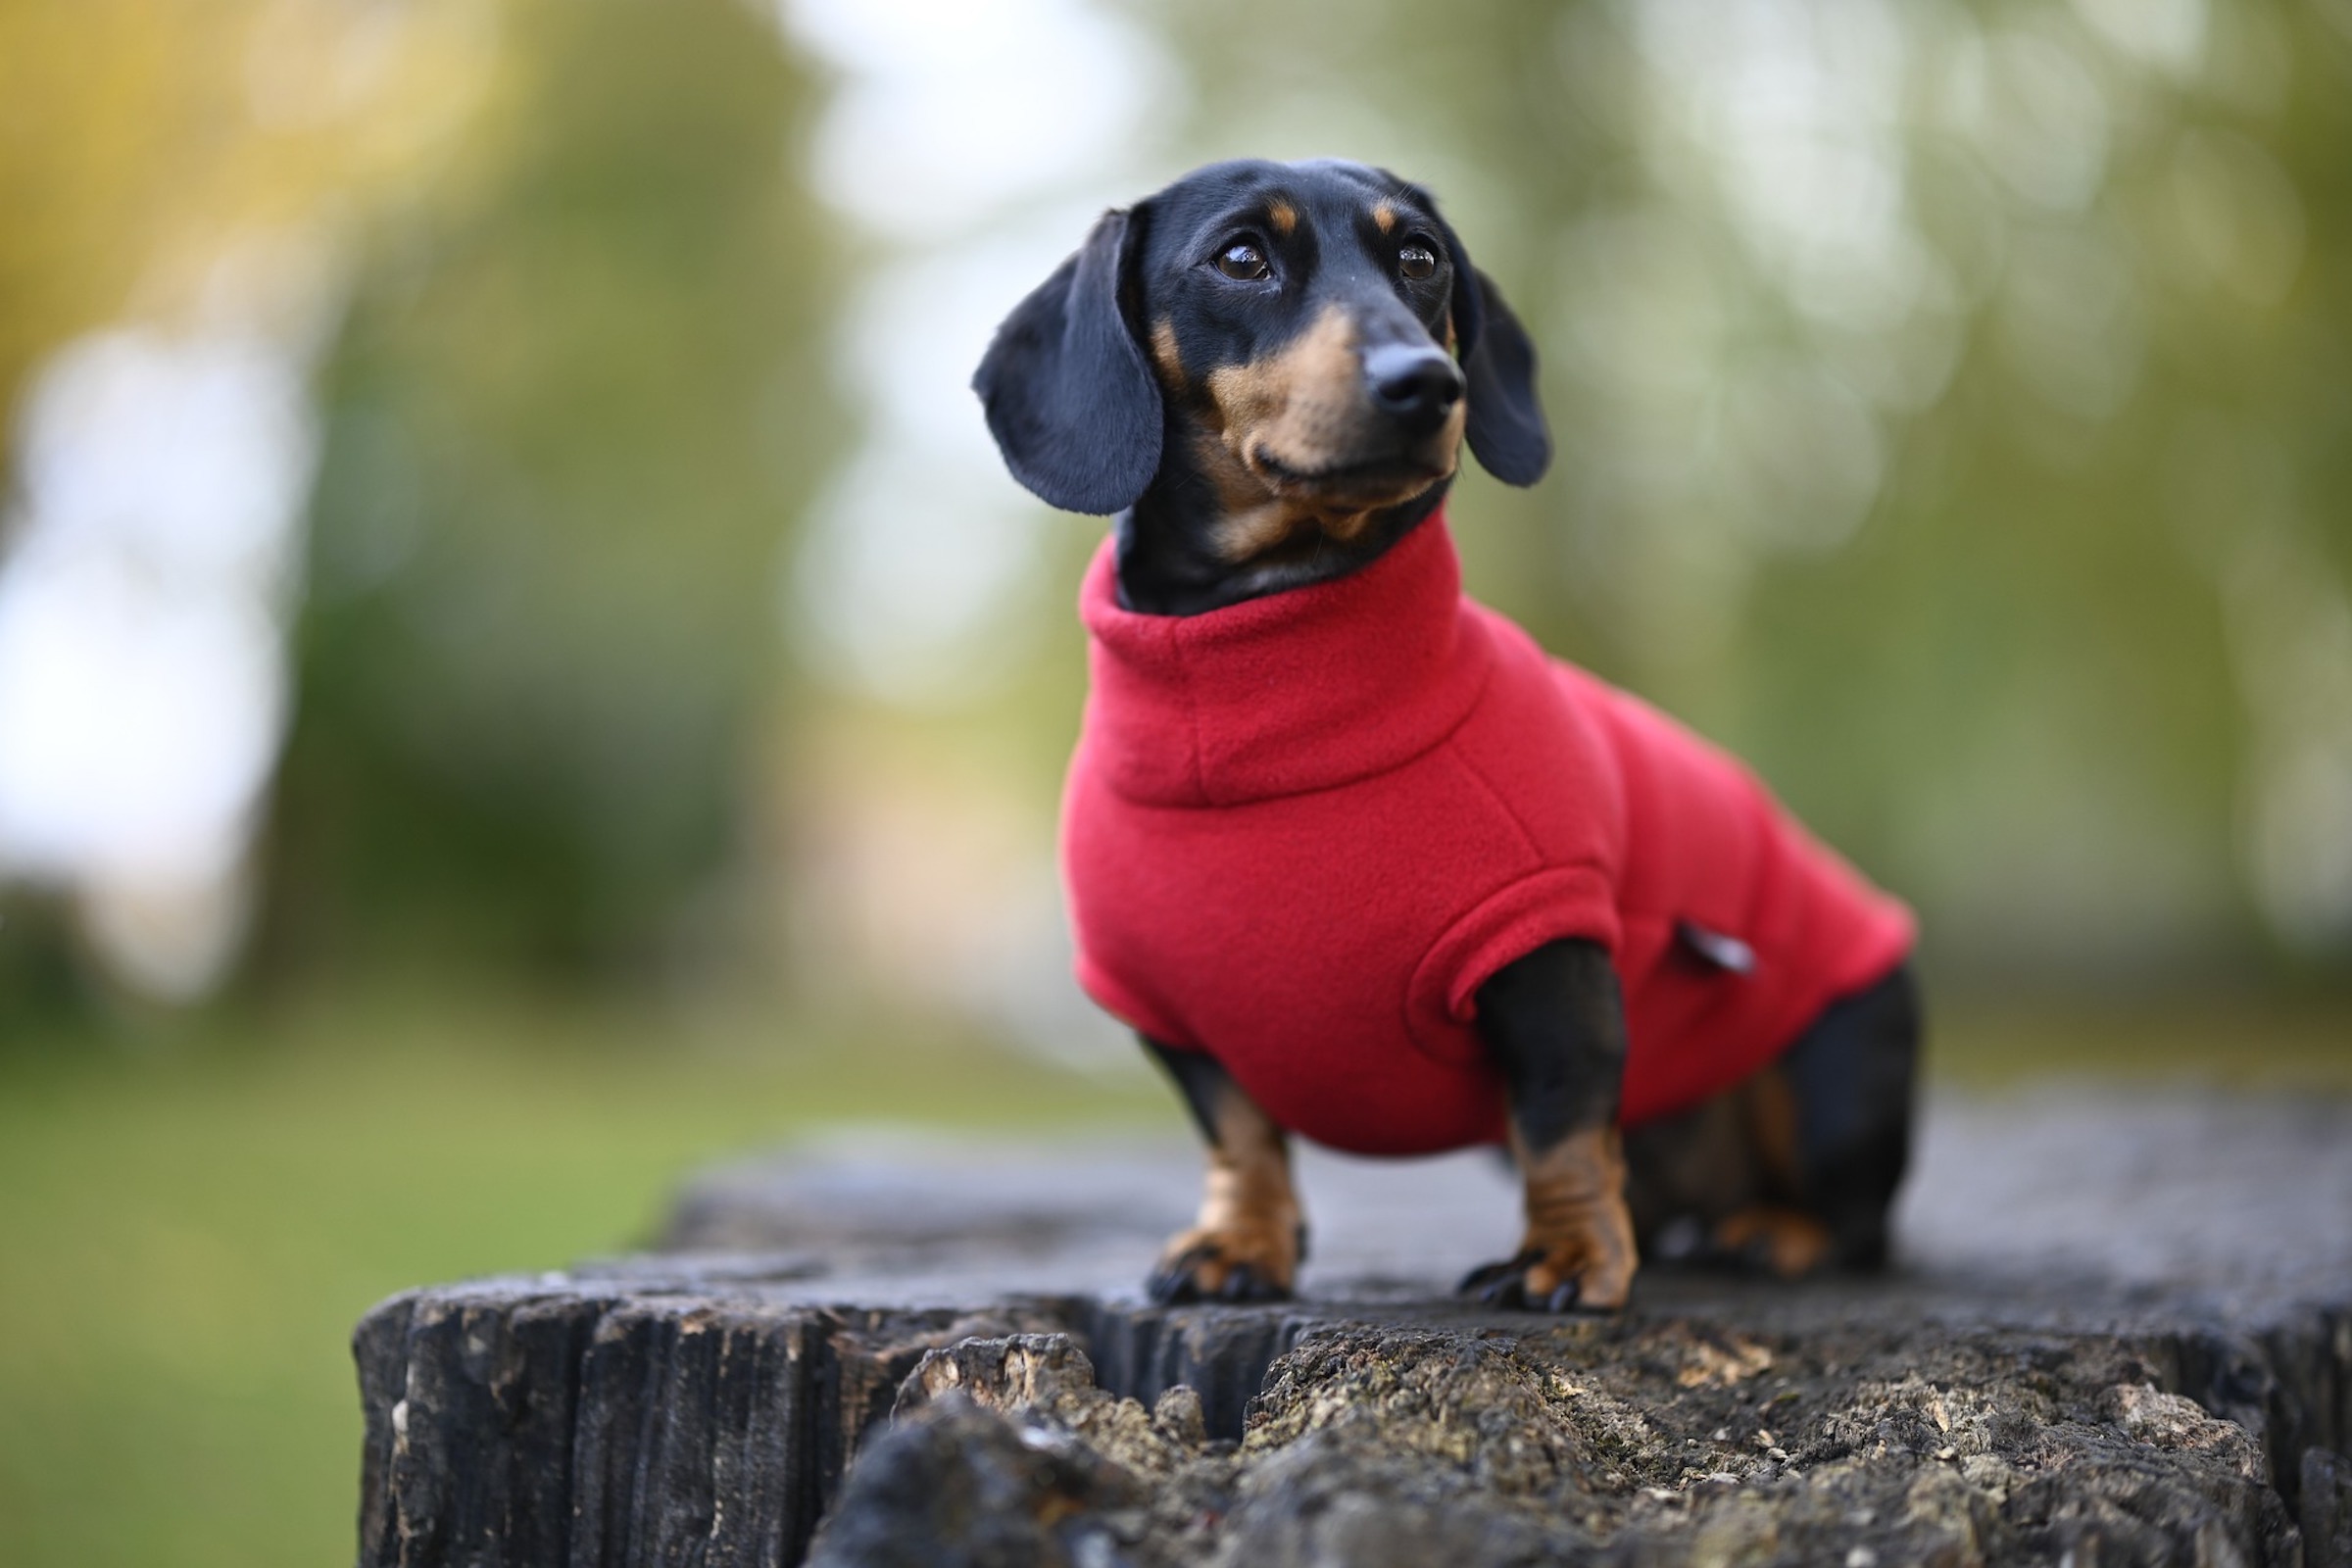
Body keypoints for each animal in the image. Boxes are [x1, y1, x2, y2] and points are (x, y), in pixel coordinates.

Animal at [968, 160, 1909, 1316]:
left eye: (1418, 256)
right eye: (1242, 256)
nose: (1427, 383)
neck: (1264, 699)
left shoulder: (1548, 955)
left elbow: (1562, 1122)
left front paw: (1567, 1258)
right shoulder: (1169, 1016)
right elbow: (1239, 1135)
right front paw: (1241, 1243)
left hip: (1835, 1061)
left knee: (1857, 1218)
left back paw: (1775, 1230)